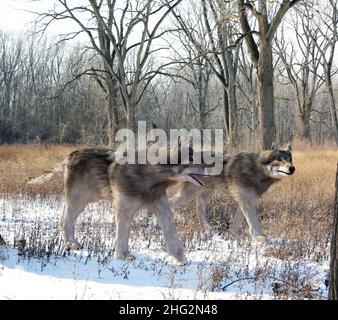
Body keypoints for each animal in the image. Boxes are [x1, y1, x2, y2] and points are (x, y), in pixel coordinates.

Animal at [27, 148, 206, 264]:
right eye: (192, 160)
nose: (208, 168)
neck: (150, 175)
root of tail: (70, 155)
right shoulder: (123, 209)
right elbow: (122, 235)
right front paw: (123, 255)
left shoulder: (163, 209)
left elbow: (173, 238)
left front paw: (182, 261)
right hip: (79, 200)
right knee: (66, 220)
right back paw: (72, 243)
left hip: (84, 200)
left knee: (64, 218)